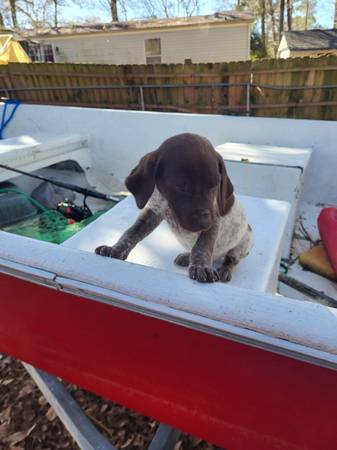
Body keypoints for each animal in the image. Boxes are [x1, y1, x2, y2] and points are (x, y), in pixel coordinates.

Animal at [95, 132, 252, 284]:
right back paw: (187, 257)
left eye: (214, 186)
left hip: (244, 244)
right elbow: (132, 232)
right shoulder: (153, 212)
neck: (169, 206)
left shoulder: (215, 218)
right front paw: (116, 248)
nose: (204, 223)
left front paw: (201, 266)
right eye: (181, 187)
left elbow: (203, 245)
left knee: (231, 260)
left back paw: (224, 269)